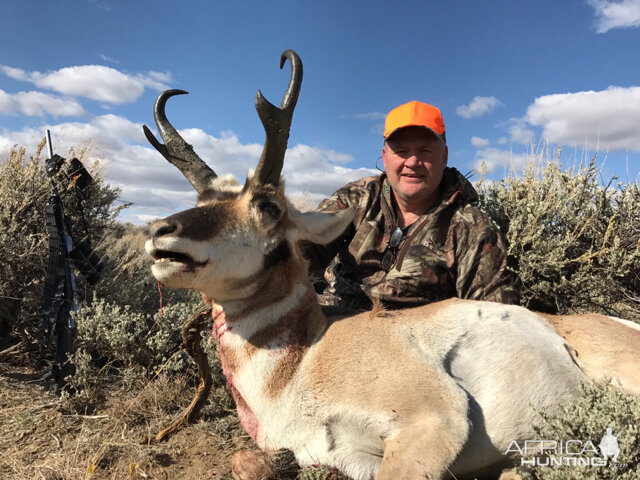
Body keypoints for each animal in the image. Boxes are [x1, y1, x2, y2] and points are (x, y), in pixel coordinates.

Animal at [145, 49, 640, 480]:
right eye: (203, 202)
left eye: (267, 207)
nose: (157, 231)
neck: (304, 359)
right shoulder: (344, 457)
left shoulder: (434, 419)